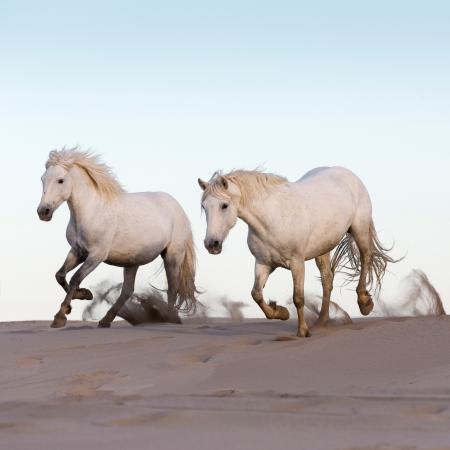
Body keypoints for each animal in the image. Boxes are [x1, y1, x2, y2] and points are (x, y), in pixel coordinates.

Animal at [38, 149, 199, 328]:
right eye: (42, 179)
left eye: (61, 180)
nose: (43, 212)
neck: (91, 212)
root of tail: (179, 208)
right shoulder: (77, 252)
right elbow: (60, 275)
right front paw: (84, 295)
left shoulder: (96, 256)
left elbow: (75, 278)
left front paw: (61, 316)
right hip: (132, 262)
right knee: (127, 291)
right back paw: (106, 320)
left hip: (172, 256)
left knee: (172, 288)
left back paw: (169, 318)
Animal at [199, 169, 396, 338]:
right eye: (204, 207)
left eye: (224, 205)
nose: (211, 244)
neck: (273, 218)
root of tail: (348, 174)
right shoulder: (263, 263)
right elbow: (256, 294)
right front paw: (280, 312)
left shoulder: (297, 263)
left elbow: (298, 298)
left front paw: (302, 331)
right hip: (323, 249)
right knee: (327, 279)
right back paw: (322, 320)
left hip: (359, 230)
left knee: (365, 259)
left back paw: (364, 303)